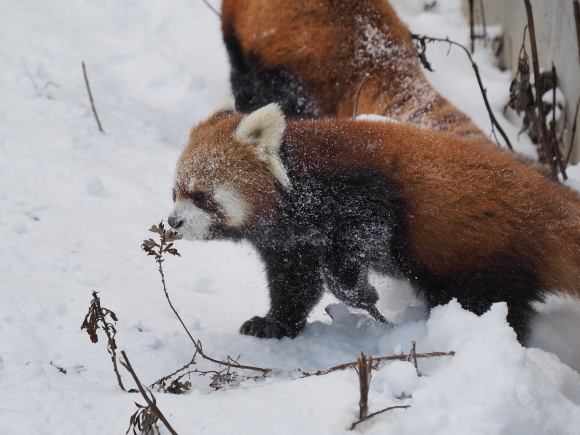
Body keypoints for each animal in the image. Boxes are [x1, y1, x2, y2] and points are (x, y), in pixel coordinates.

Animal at [168, 103, 580, 344]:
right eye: (175, 192)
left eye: (200, 195)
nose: (173, 221)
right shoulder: (292, 245)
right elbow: (295, 285)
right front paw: (275, 324)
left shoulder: (362, 193)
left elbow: (361, 241)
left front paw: (358, 292)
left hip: (481, 258)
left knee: (490, 306)